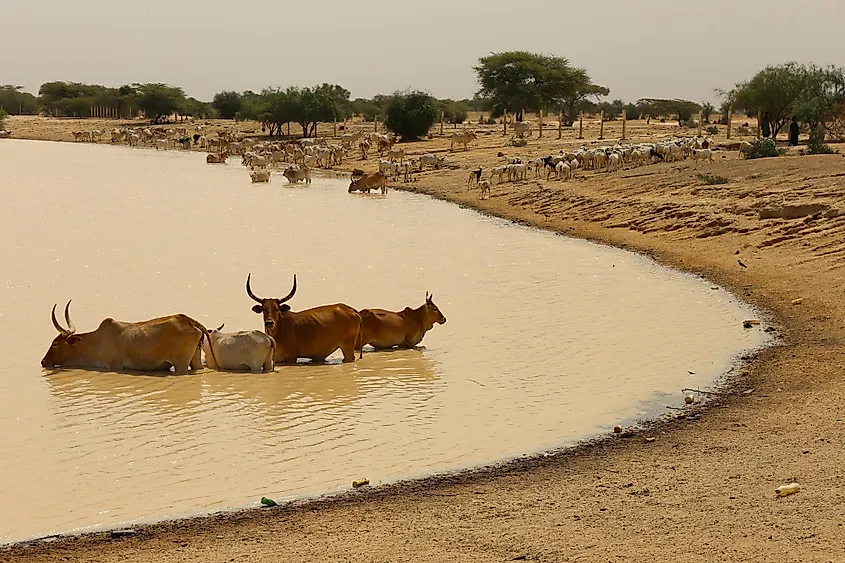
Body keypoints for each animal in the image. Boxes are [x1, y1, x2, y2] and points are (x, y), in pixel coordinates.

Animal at [41, 300, 216, 374]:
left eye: (55, 343)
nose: (43, 361)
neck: (96, 342)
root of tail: (187, 320)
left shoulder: (115, 366)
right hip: (195, 361)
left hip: (181, 365)